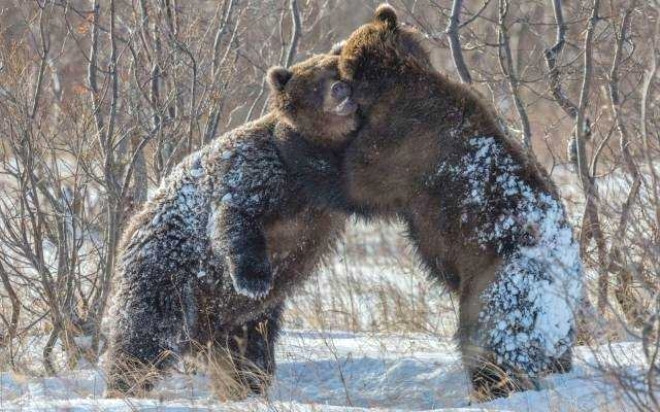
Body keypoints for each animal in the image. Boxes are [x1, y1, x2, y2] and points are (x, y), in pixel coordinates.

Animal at [104, 52, 358, 400]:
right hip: (168, 277)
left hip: (244, 319)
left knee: (250, 351)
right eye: (317, 81)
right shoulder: (257, 172)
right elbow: (236, 217)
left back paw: (245, 387)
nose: (340, 90)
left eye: (340, 69)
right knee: (146, 336)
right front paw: (254, 280)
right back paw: (123, 387)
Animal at [336, 4, 584, 400]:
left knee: (488, 336)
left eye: (344, 51)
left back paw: (493, 384)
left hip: (498, 279)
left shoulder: (404, 143)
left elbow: (358, 177)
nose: (335, 46)